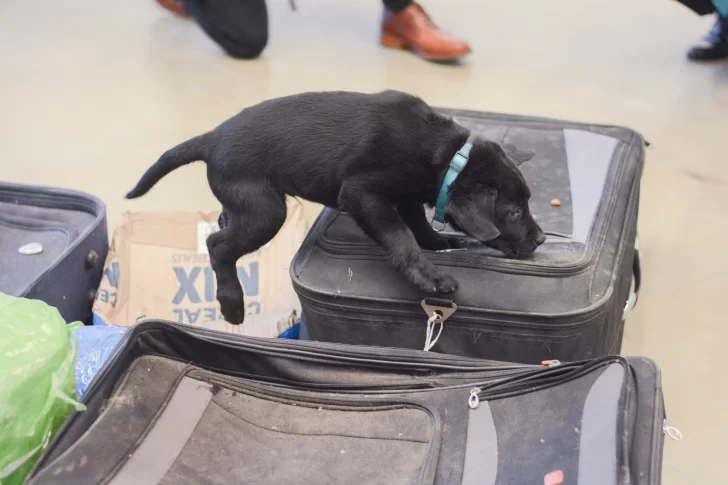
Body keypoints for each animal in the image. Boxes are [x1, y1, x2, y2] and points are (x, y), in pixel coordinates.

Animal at [126, 91, 544, 326]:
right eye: (513, 212)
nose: (540, 239)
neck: (446, 158)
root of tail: (210, 138)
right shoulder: (362, 193)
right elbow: (401, 236)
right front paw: (430, 277)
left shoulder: (407, 195)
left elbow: (419, 227)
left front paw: (442, 244)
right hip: (266, 211)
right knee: (218, 246)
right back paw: (232, 304)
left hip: (247, 205)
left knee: (223, 222)